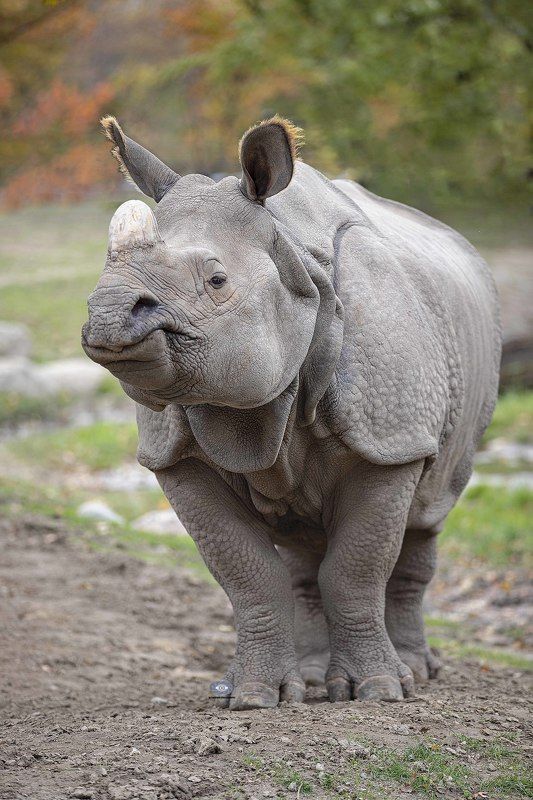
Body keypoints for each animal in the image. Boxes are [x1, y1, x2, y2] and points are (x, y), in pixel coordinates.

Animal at [82, 115, 501, 710]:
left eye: (217, 281)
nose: (109, 315)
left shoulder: (389, 438)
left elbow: (356, 568)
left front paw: (378, 691)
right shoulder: (175, 457)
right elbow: (248, 573)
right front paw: (255, 696)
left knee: (429, 512)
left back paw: (415, 673)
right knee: (305, 553)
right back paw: (311, 677)